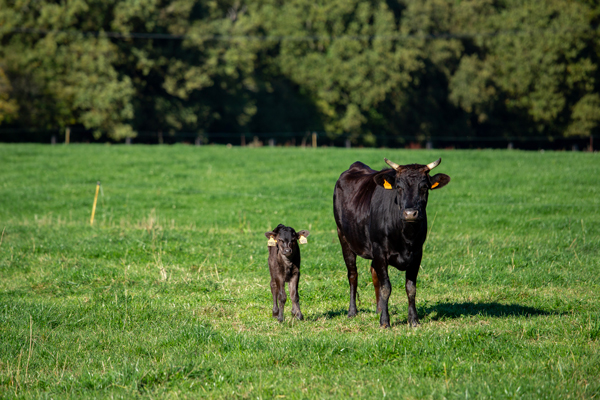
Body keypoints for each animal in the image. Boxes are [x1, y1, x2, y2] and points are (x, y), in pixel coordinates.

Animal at [332, 158, 450, 326]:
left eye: (424, 187)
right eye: (399, 187)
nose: (410, 213)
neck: (405, 236)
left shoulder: (417, 253)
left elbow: (410, 288)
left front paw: (413, 320)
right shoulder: (380, 251)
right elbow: (386, 287)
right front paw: (384, 322)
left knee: (374, 273)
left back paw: (379, 308)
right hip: (344, 239)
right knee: (353, 275)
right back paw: (352, 311)